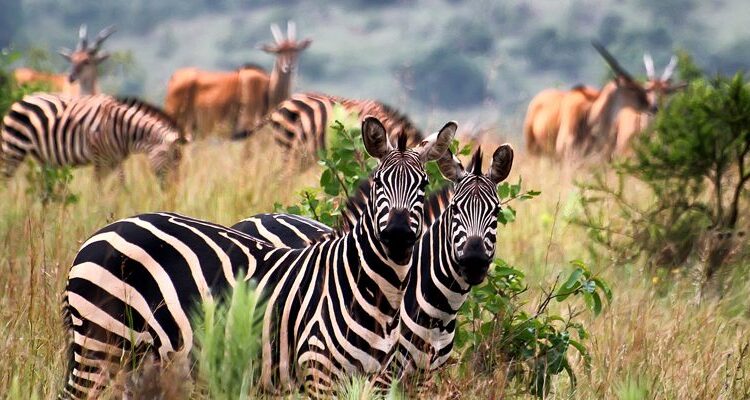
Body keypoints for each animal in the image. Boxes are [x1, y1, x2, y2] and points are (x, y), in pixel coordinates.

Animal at [0, 93, 186, 182]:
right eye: (172, 161)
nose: (173, 191)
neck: (122, 128)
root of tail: (22, 100)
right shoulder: (100, 158)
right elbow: (100, 188)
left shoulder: (115, 159)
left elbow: (122, 185)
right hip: (13, 150)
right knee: (6, 180)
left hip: (41, 157)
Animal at [60, 115, 458, 396]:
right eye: (377, 183)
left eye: (423, 184)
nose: (398, 234)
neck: (375, 292)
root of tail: (101, 233)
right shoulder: (320, 372)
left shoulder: (372, 380)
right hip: (101, 341)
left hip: (137, 358)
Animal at [231, 143, 516, 388]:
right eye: (455, 209)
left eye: (497, 212)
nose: (474, 262)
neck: (440, 311)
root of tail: (252, 218)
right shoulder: (382, 373)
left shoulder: (423, 378)